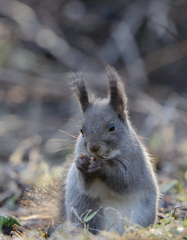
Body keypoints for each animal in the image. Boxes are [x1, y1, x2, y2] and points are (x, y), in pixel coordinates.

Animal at [60, 66, 159, 235]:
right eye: (81, 130)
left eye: (112, 127)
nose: (93, 148)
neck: (106, 157)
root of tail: (114, 231)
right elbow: (86, 186)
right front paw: (81, 164)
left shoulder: (135, 164)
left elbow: (124, 179)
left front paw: (101, 167)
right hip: (85, 208)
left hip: (144, 213)